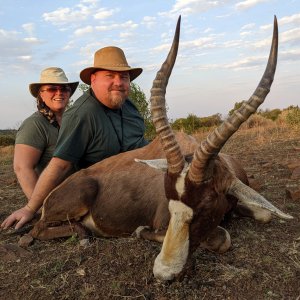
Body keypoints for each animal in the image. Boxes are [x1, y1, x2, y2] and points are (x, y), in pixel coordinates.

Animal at [30, 15, 292, 282]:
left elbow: (264, 213)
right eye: (167, 198)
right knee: (34, 231)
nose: (164, 271)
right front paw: (141, 231)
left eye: (207, 203)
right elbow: (222, 238)